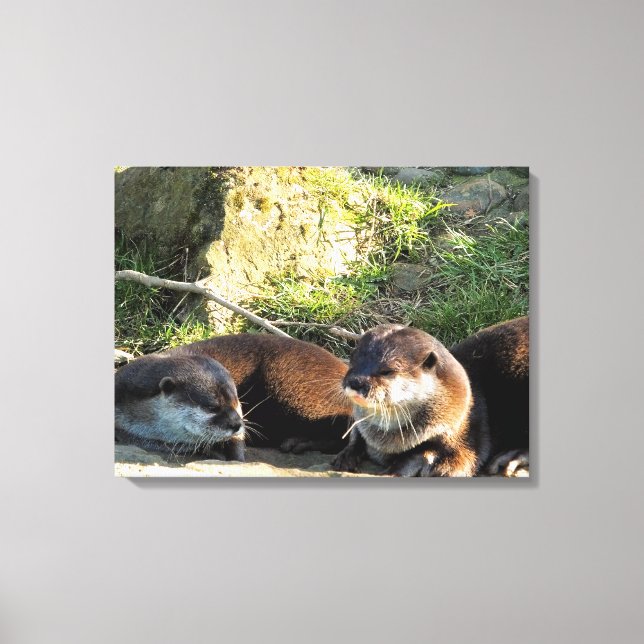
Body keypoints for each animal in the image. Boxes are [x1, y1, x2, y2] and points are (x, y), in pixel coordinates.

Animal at [331, 317, 529, 477]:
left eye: (387, 370)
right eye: (353, 359)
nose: (355, 382)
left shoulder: (467, 435)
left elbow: (453, 459)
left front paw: (397, 469)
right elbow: (355, 436)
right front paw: (346, 455)